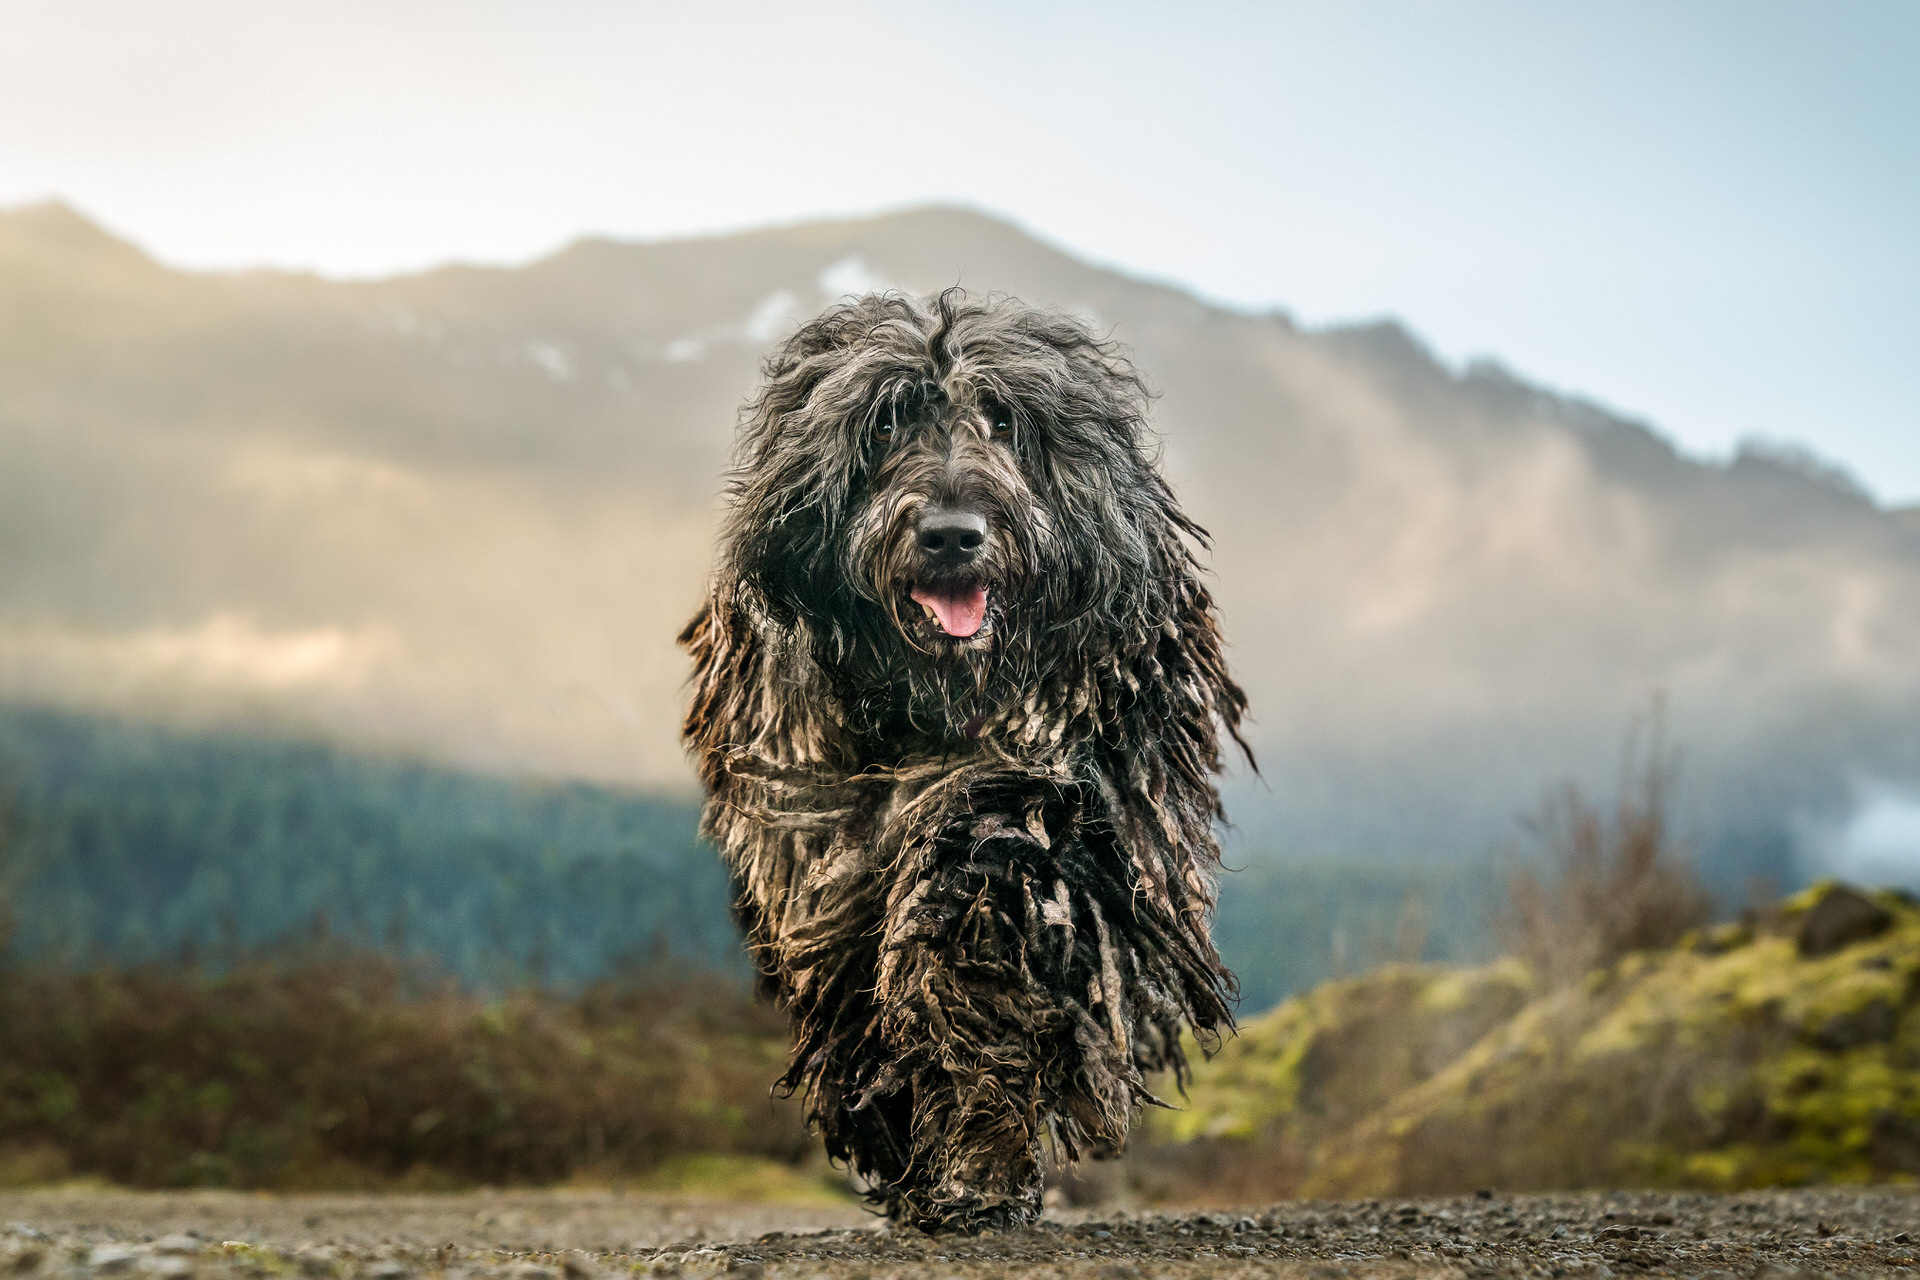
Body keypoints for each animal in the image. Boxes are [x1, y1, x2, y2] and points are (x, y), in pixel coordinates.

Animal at [683, 287, 1251, 1228]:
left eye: (1006, 420)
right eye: (885, 422)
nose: (953, 534)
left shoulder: (1044, 816)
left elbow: (981, 953)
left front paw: (979, 1163)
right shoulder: (818, 848)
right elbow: (856, 990)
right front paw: (907, 1146)